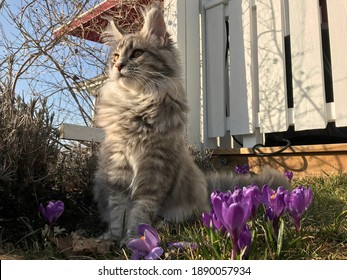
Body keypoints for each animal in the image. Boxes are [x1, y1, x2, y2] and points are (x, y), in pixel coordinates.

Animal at [92, 3, 288, 244]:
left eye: (137, 53)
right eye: (116, 56)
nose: (118, 66)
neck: (137, 103)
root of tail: (206, 187)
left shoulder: (154, 171)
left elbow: (139, 211)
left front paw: (134, 238)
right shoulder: (117, 171)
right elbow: (118, 210)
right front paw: (112, 238)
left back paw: (162, 226)